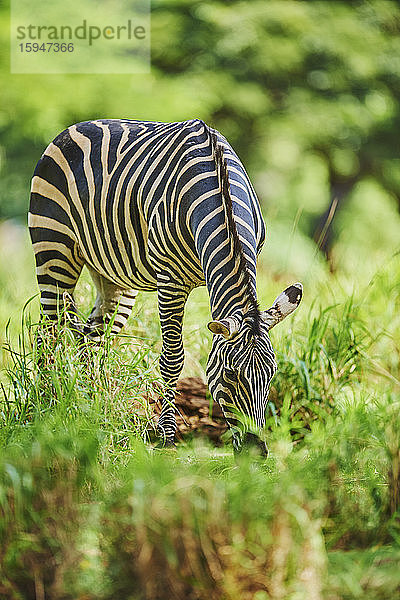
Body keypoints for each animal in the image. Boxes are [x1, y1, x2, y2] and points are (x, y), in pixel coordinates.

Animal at [28, 118, 304, 450]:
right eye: (230, 375)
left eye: (271, 374)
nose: (256, 451)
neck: (217, 193)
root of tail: (75, 127)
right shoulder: (171, 282)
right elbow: (173, 359)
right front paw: (167, 436)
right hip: (54, 248)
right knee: (48, 332)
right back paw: (46, 410)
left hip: (113, 277)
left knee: (92, 339)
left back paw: (88, 411)